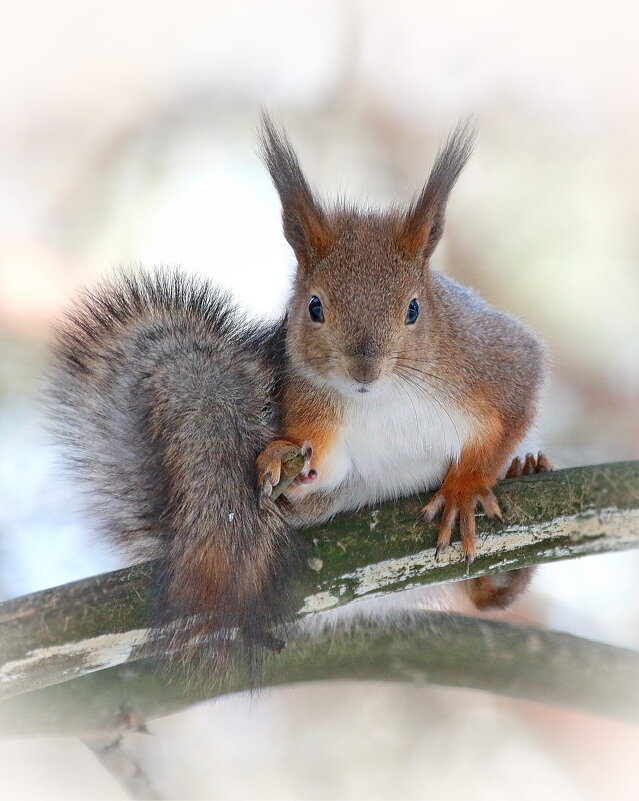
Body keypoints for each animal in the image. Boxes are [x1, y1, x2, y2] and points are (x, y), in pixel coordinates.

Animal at [50, 111, 552, 676]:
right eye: (314, 307)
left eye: (414, 309)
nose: (363, 369)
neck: (382, 397)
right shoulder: (311, 408)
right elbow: (318, 465)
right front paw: (280, 456)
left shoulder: (495, 362)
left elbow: (515, 407)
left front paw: (465, 486)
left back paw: (524, 475)